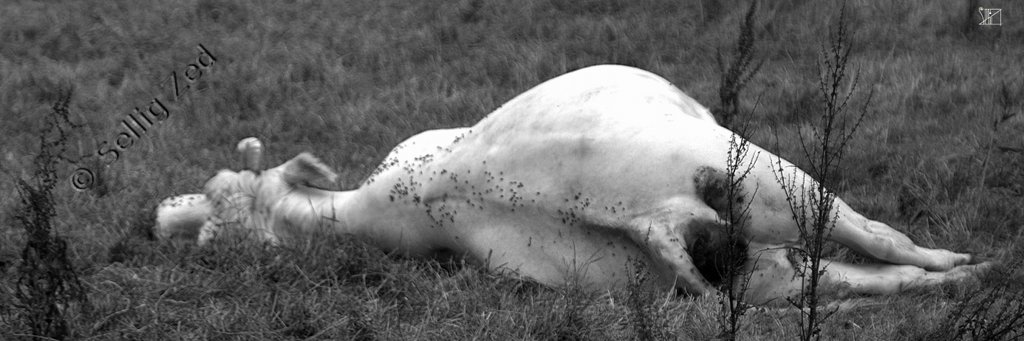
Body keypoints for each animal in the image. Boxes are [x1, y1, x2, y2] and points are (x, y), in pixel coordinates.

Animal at [153, 65, 991, 303]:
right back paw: (971, 266)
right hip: (767, 184)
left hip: (760, 269)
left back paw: (966, 277)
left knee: (866, 274)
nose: (165, 217)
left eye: (226, 186)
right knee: (883, 245)